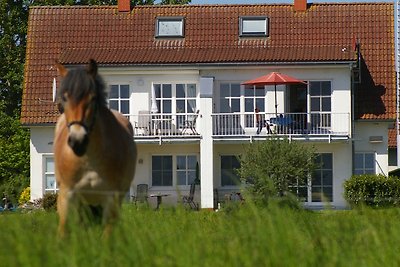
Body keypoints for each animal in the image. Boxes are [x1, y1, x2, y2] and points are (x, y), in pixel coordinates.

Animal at [54, 60, 138, 237]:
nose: (78, 141)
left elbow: (107, 234)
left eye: (92, 98)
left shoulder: (111, 198)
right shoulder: (67, 194)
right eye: (64, 98)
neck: (88, 159)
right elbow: (63, 231)